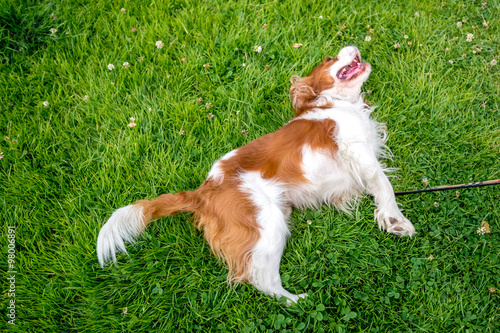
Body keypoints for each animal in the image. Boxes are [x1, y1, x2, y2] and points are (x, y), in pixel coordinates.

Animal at [95, 45, 416, 302]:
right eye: (329, 58)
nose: (352, 44)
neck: (338, 103)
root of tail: (203, 191)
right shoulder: (358, 152)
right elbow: (385, 186)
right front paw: (395, 221)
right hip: (267, 223)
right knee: (261, 279)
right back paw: (296, 301)